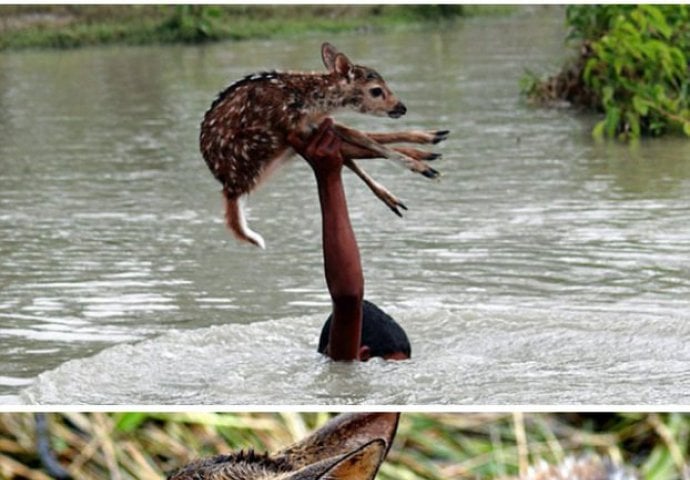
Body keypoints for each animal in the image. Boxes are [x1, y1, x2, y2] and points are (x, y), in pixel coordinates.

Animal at [199, 42, 446, 248]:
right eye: (376, 90)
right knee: (351, 149)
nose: (401, 107)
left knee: (352, 147)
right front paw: (421, 165)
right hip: (266, 145)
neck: (313, 101)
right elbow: (363, 139)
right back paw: (423, 163)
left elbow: (360, 136)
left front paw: (426, 144)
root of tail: (230, 188)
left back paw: (427, 148)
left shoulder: (314, 124)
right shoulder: (296, 126)